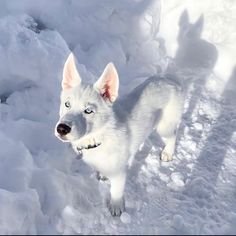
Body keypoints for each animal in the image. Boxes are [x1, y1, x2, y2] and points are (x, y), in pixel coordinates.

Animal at [55, 53, 184, 216]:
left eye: (88, 111)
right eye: (67, 104)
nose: (62, 128)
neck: (99, 137)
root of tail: (170, 78)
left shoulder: (119, 173)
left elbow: (116, 189)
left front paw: (116, 206)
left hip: (164, 126)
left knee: (173, 134)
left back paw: (168, 153)